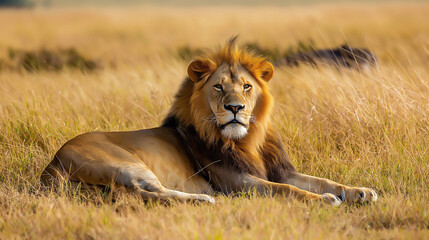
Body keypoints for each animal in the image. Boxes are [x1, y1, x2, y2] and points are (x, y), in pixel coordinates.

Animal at [40, 38, 374, 206]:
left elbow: (319, 180)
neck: (247, 140)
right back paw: (202, 199)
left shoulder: (278, 170)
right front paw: (326, 200)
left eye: (247, 87)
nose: (235, 107)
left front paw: (358, 191)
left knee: (133, 194)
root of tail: (52, 162)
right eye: (218, 87)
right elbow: (288, 191)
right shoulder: (239, 183)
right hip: (124, 163)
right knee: (142, 191)